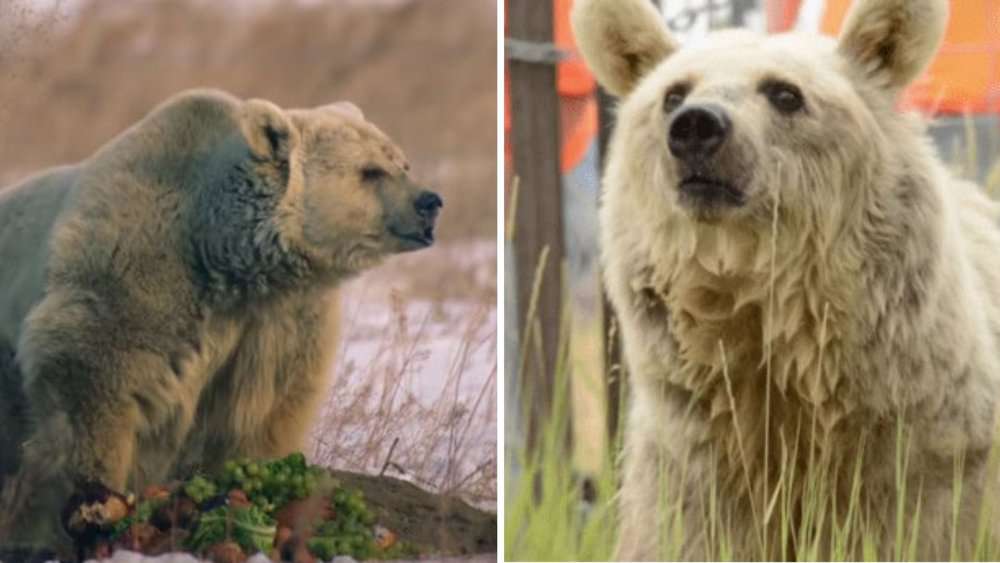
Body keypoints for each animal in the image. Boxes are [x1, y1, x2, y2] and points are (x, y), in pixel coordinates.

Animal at [0, 88, 442, 552]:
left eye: (402, 162)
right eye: (370, 170)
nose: (429, 202)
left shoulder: (280, 323)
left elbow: (268, 411)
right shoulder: (134, 276)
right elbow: (91, 379)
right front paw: (93, 498)